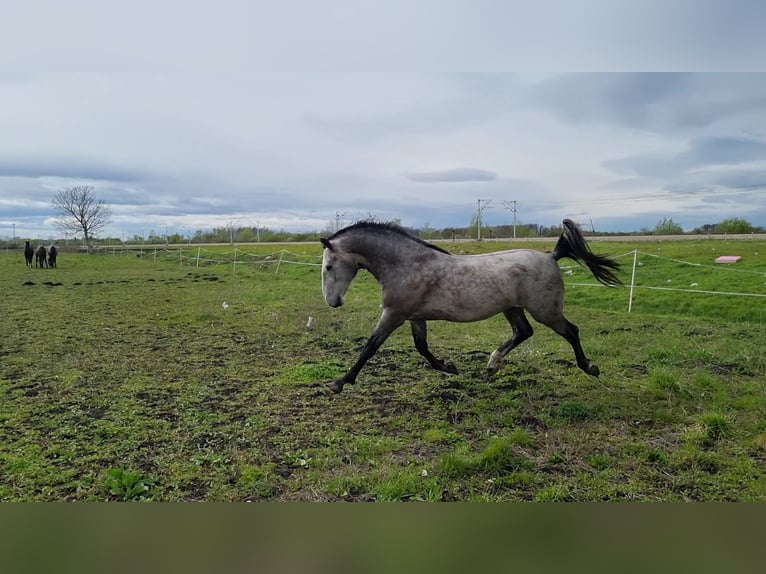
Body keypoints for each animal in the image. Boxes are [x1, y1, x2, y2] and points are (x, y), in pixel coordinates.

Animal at [318, 218, 624, 394]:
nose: (333, 302)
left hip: (545, 310)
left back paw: (590, 368)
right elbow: (422, 347)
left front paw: (339, 382)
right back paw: (492, 365)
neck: (407, 264)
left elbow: (370, 347)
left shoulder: (394, 314)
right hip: (512, 308)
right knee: (523, 332)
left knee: (571, 331)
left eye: (329, 266)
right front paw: (448, 367)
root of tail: (551, 256)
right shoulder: (414, 316)